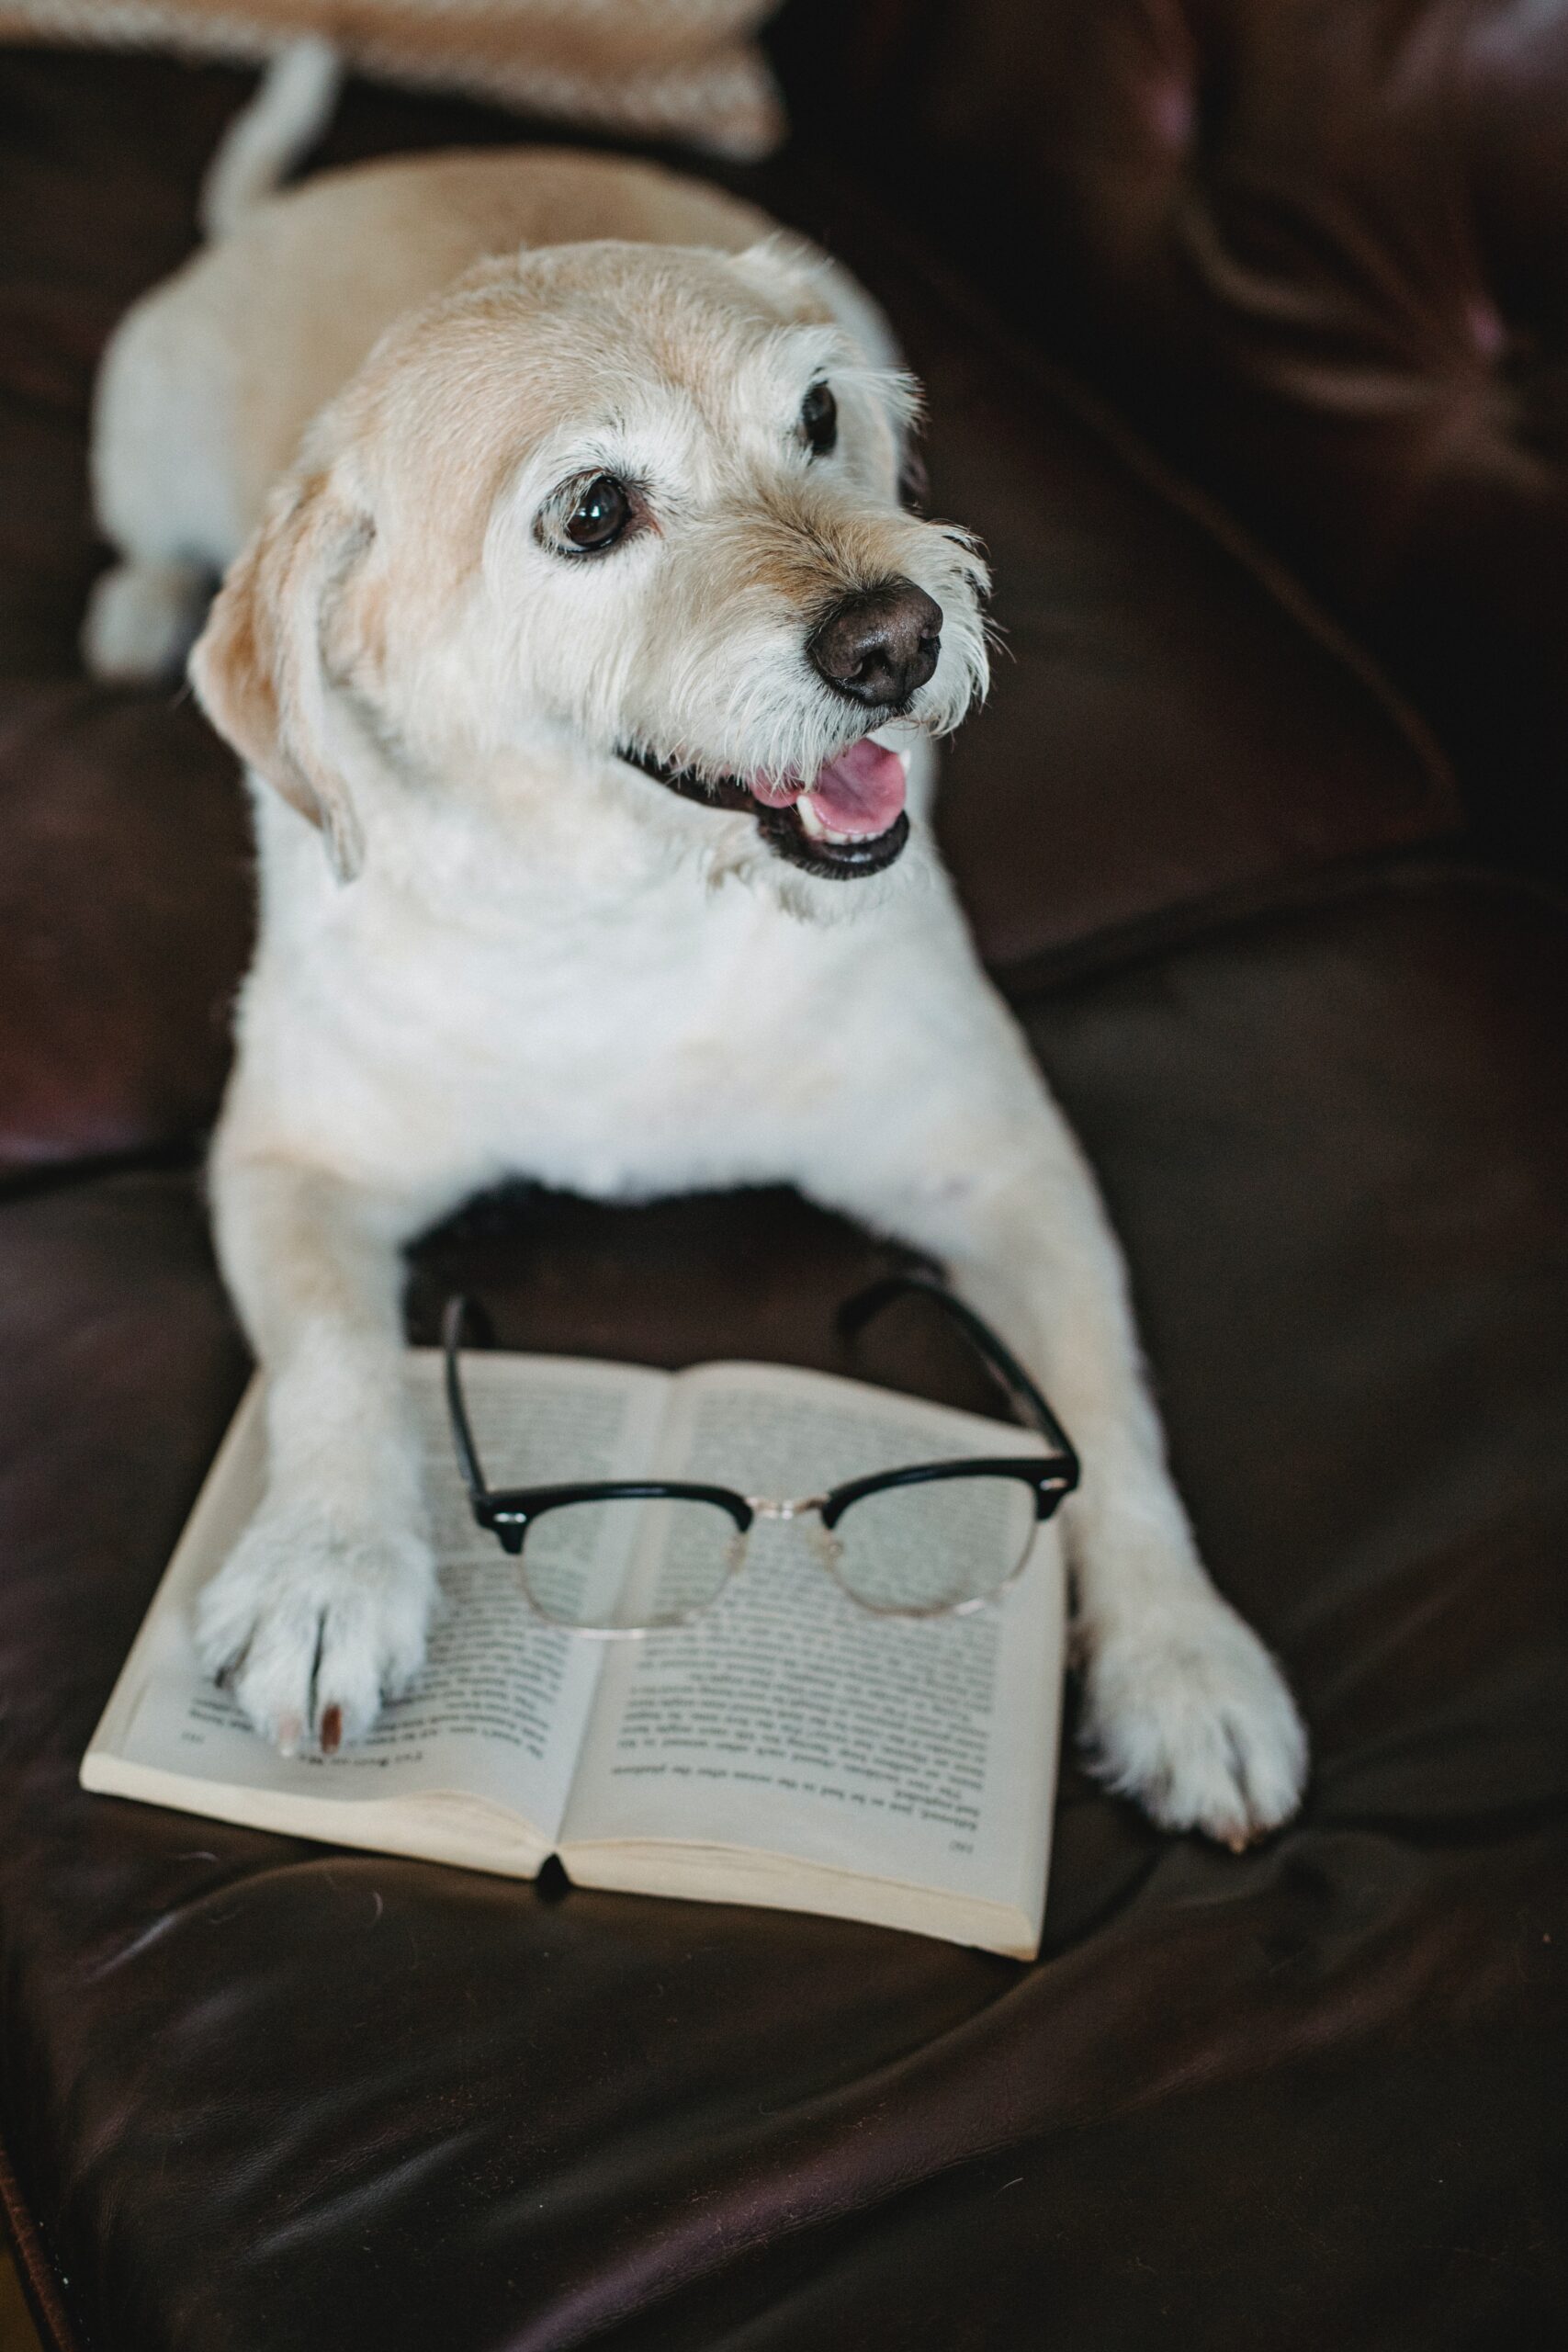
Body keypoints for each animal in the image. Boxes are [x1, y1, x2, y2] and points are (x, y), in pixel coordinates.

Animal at [88, 137, 1316, 1844]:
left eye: (815, 416)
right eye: (594, 510)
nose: (896, 639)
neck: (623, 908)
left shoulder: (1003, 1170)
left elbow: (1106, 1412)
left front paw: (1183, 1659)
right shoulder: (287, 1160)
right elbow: (334, 1357)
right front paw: (328, 1570)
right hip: (134, 443)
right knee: (150, 545)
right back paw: (135, 618)